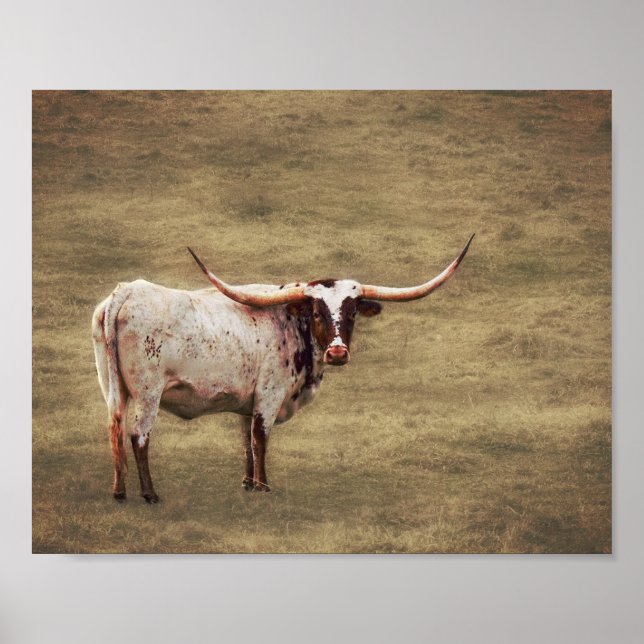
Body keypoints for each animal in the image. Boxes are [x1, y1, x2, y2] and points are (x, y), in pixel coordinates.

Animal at [91, 235, 474, 502]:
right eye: (317, 312)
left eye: (351, 313)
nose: (337, 353)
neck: (291, 323)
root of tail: (125, 292)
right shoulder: (269, 394)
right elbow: (261, 438)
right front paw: (263, 487)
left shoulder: (247, 401)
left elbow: (246, 440)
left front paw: (248, 483)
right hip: (148, 393)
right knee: (139, 436)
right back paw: (150, 494)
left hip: (112, 388)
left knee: (114, 431)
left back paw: (119, 491)